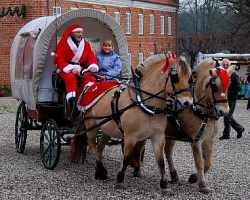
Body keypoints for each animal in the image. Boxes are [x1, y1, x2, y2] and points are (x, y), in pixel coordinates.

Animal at [79, 54, 192, 190]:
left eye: (190, 77)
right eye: (175, 76)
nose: (188, 103)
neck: (144, 103)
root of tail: (90, 85)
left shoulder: (158, 136)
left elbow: (160, 161)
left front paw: (164, 184)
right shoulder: (130, 137)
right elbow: (127, 157)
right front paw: (120, 179)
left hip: (106, 129)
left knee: (99, 148)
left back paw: (100, 171)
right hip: (91, 126)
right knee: (93, 146)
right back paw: (100, 170)